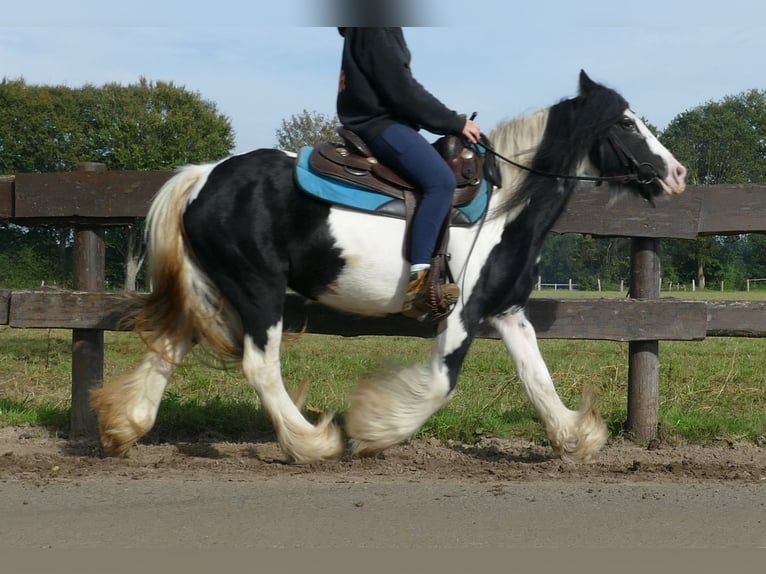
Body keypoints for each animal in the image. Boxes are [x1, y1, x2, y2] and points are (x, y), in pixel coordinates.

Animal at [91, 72, 688, 466]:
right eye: (627, 123)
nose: (677, 173)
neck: (504, 203)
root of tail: (204, 177)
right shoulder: (463, 312)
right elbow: (442, 382)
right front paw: (375, 429)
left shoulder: (507, 310)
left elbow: (537, 376)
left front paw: (575, 436)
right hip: (257, 289)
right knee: (259, 366)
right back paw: (313, 442)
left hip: (214, 288)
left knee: (169, 344)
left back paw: (125, 427)